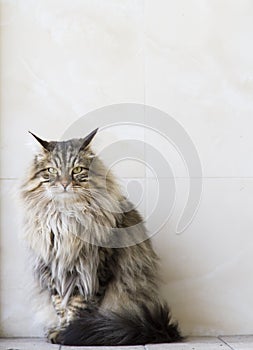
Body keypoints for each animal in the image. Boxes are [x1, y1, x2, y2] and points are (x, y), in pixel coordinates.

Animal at [20, 128, 182, 344]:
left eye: (77, 170)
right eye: (52, 171)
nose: (64, 184)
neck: (66, 217)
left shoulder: (95, 269)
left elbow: (79, 307)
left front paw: (70, 333)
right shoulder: (52, 269)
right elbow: (60, 306)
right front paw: (60, 331)